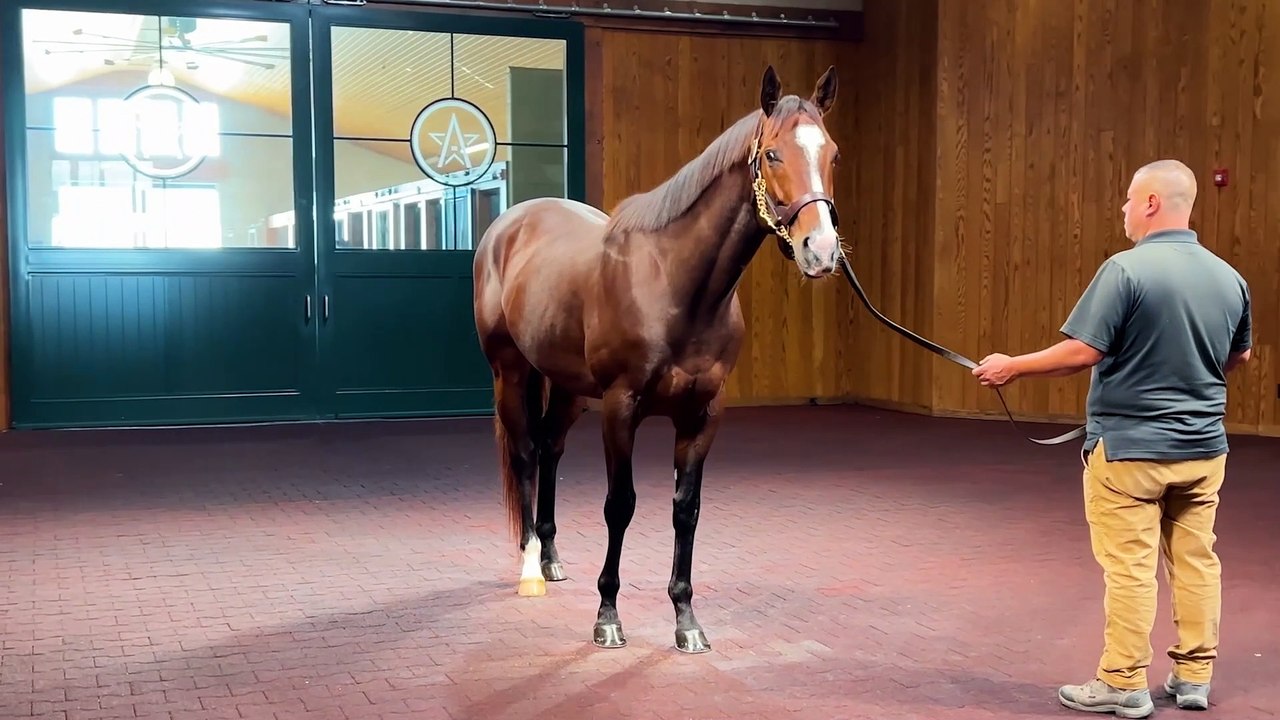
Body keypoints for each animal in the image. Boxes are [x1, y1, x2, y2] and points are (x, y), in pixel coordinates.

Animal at [471, 64, 843, 653]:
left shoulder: (702, 414)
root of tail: (508, 227)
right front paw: (607, 617)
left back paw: (551, 558)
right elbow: (619, 505)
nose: (822, 251)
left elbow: (685, 510)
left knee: (550, 448)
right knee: (526, 453)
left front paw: (686, 621)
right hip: (510, 371)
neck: (672, 281)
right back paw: (531, 568)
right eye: (772, 155)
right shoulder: (621, 407)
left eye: (832, 153)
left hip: (569, 386)